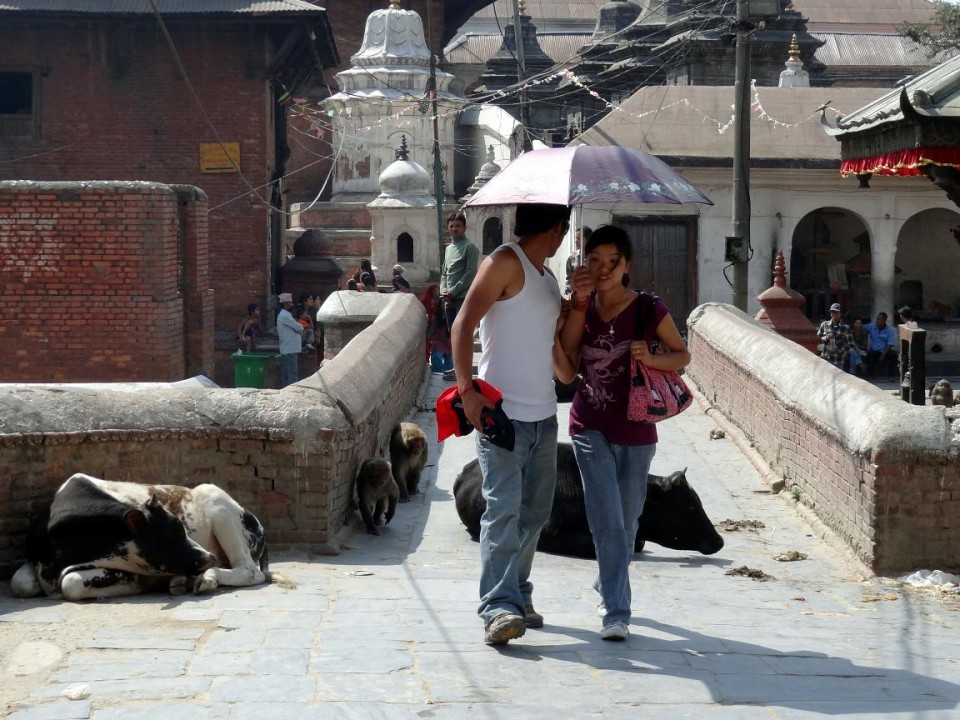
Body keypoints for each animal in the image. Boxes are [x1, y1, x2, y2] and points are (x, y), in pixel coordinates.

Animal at [10, 472, 284, 600]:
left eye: (180, 526)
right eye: (174, 530)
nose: (207, 557)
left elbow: (72, 582)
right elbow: (19, 582)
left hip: (214, 497)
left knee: (249, 571)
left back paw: (206, 579)